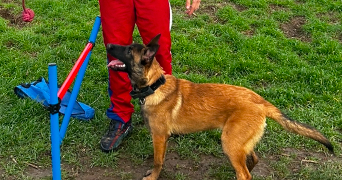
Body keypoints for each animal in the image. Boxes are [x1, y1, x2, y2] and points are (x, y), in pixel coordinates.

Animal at [105, 34, 332, 180]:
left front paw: (152, 177)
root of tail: (261, 101)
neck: (154, 86)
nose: (108, 45)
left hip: (229, 142)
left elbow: (157, 162)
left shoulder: (159, 137)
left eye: (128, 50)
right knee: (252, 160)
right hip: (238, 142)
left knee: (245, 174)